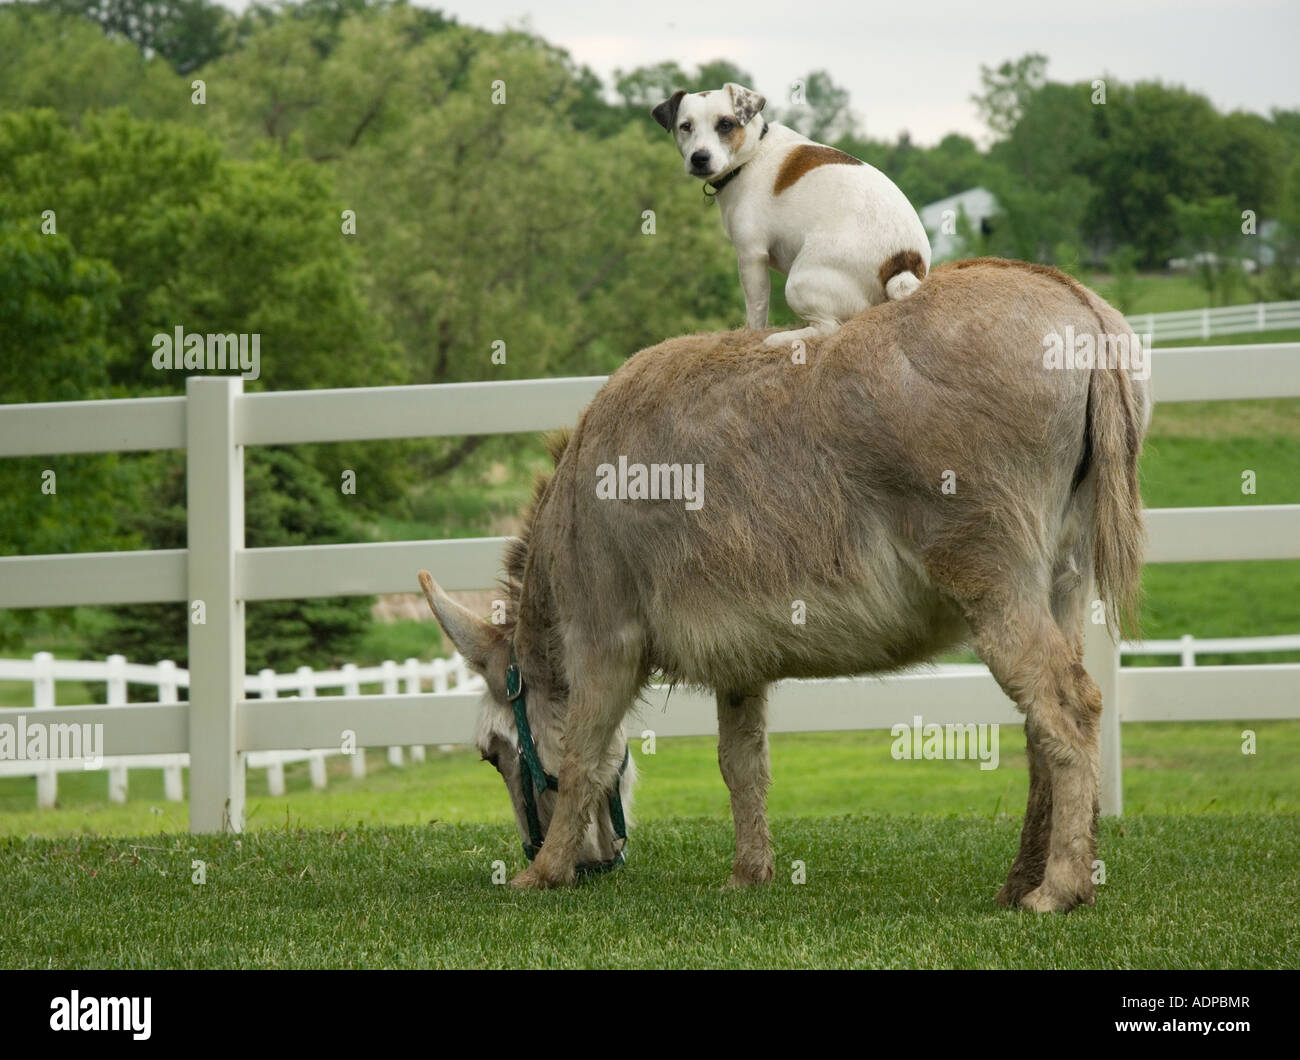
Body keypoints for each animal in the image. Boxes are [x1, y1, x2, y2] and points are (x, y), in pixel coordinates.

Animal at [655, 85, 930, 348]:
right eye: (686, 126)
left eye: (725, 124)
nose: (699, 158)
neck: (753, 154)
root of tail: (903, 260)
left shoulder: (751, 256)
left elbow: (756, 312)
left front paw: (751, 336)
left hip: (799, 283)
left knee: (830, 327)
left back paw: (780, 339)